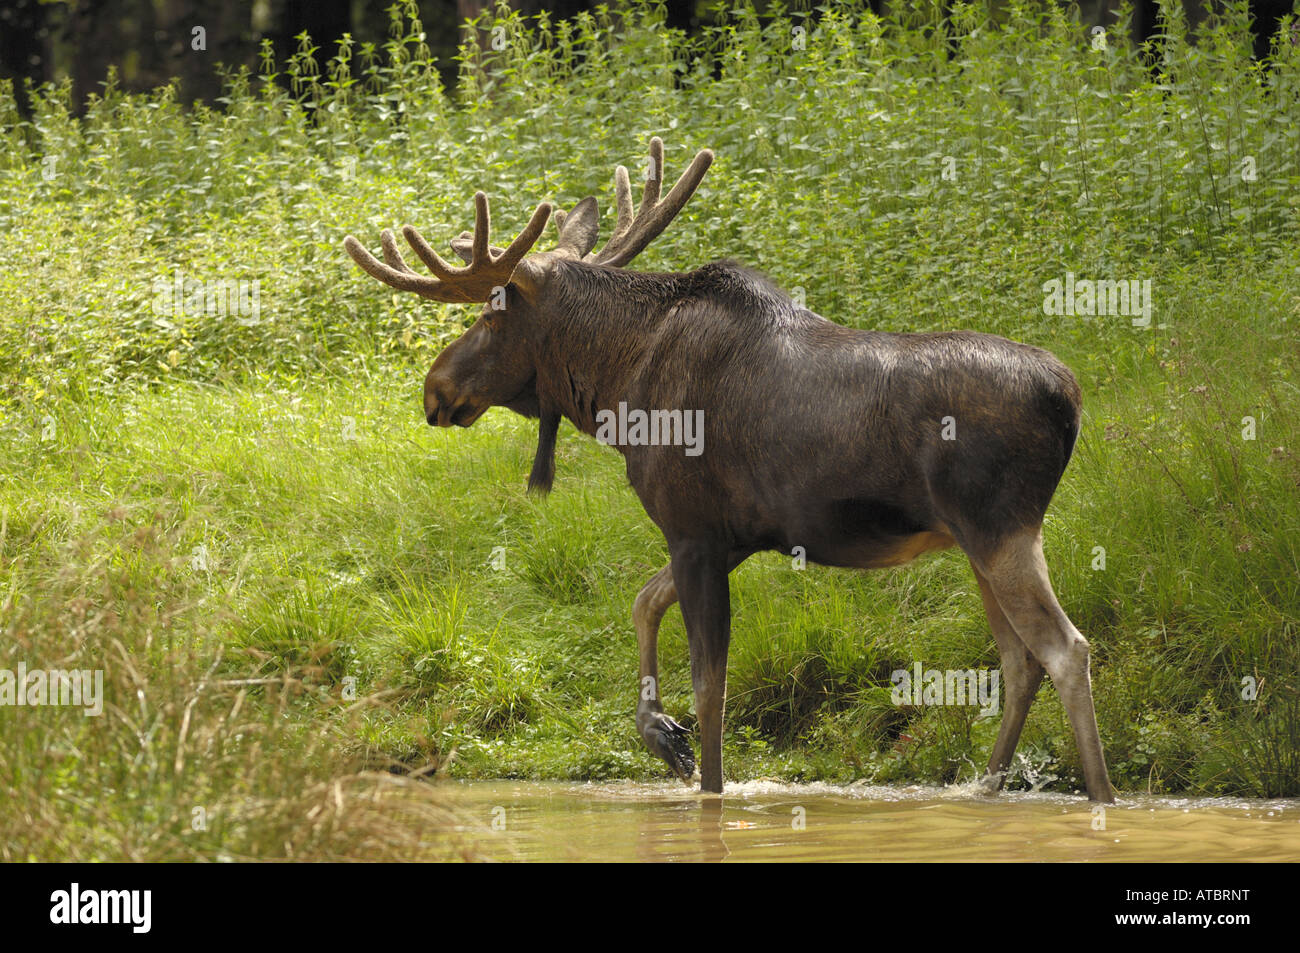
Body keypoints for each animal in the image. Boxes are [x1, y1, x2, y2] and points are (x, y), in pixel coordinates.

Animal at [345, 135, 1118, 800]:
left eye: (492, 311)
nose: (435, 389)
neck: (620, 388)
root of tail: (1071, 399)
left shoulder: (691, 529)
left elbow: (710, 687)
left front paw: (700, 773)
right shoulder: (733, 534)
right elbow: (643, 602)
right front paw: (663, 736)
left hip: (999, 524)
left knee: (1065, 649)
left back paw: (1101, 795)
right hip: (973, 539)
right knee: (1018, 659)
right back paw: (986, 789)